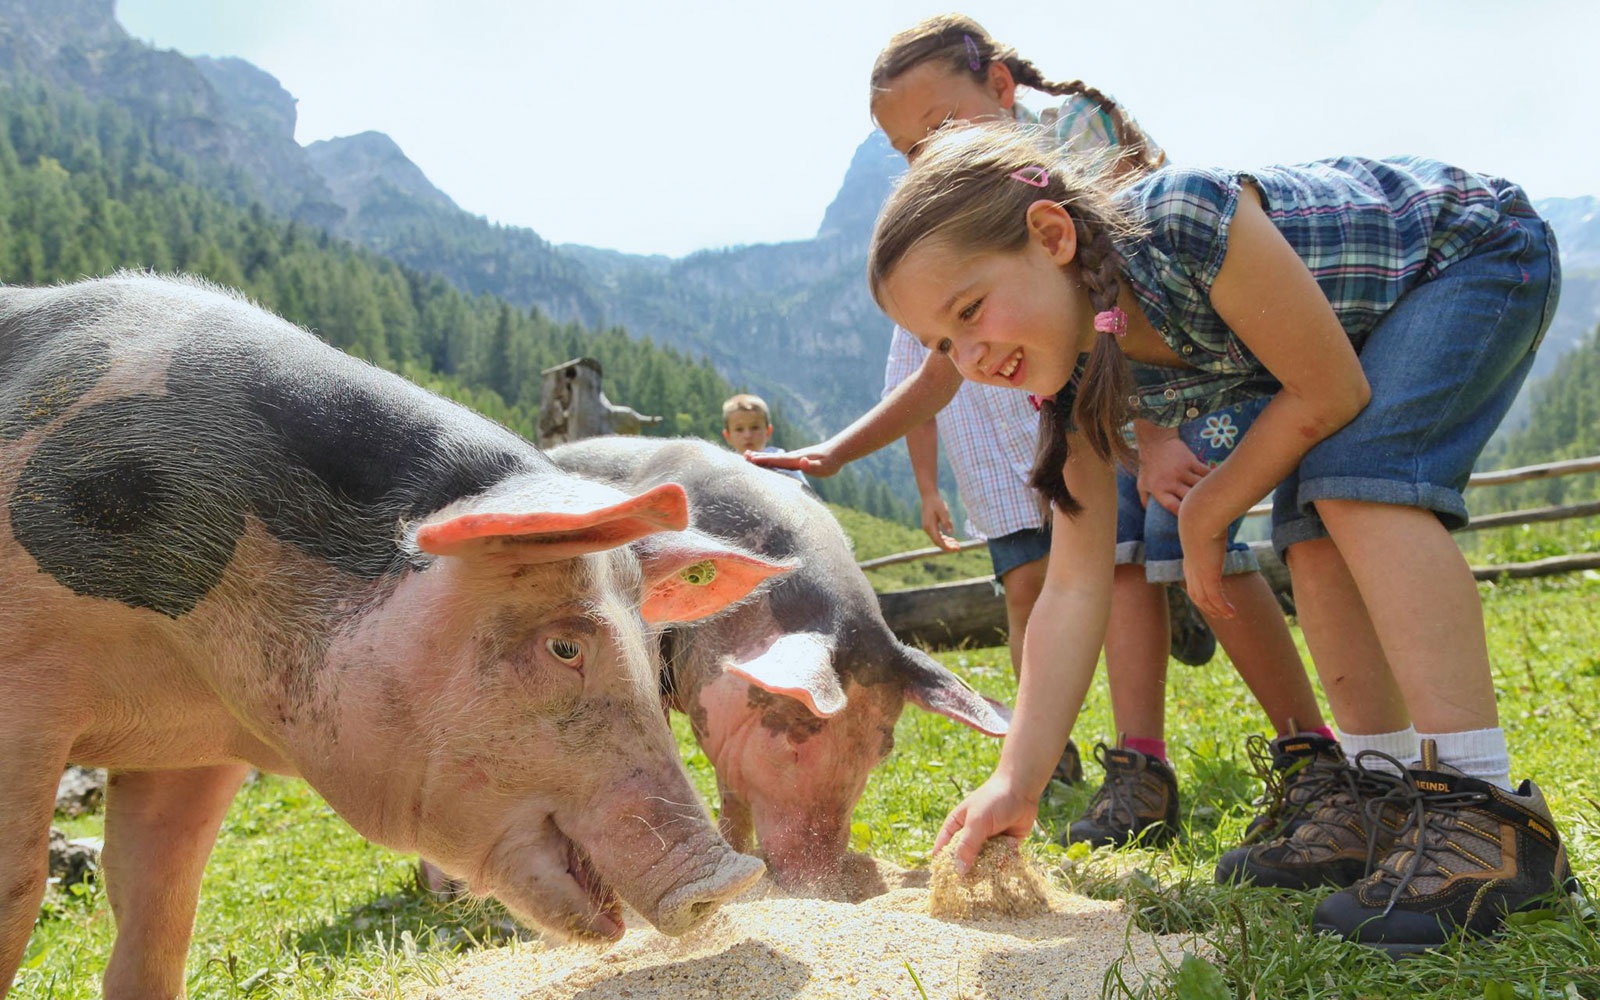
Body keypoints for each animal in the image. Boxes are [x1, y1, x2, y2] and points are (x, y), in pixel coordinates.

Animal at [0, 275, 787, 998]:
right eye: (565, 646)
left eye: (651, 648)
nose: (734, 875)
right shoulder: (25, 698)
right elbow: (20, 888)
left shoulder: (195, 748)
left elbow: (160, 905)